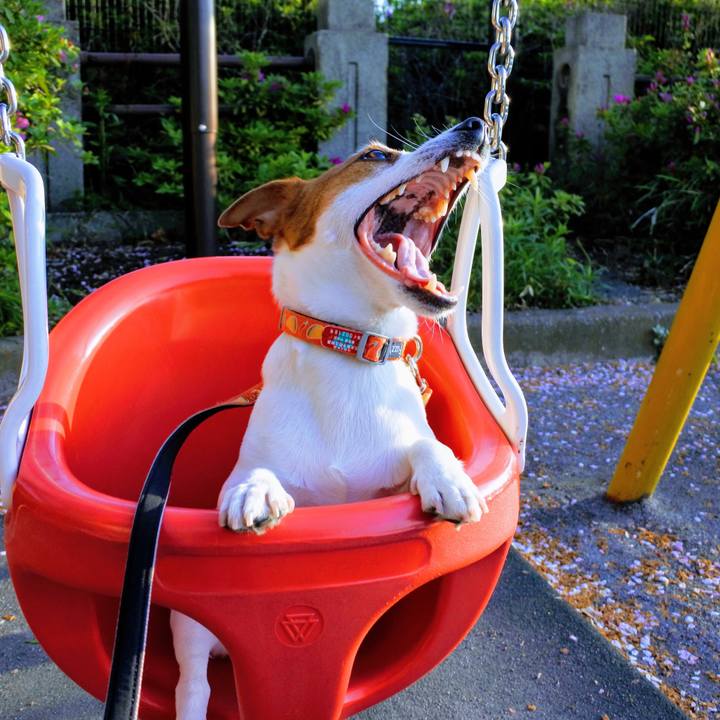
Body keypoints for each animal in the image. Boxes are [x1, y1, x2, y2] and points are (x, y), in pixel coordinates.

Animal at [170, 117, 490, 719]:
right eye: (374, 155)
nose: (474, 124)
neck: (354, 347)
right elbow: (255, 469)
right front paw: (255, 490)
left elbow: (426, 444)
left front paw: (450, 478)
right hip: (188, 626)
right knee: (192, 685)